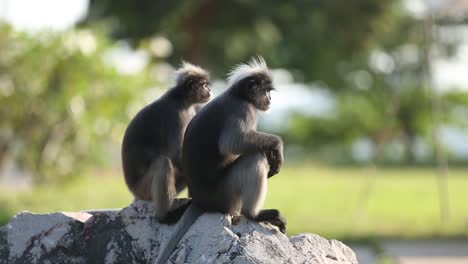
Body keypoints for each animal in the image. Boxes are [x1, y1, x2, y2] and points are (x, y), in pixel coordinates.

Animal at [120, 62, 210, 223]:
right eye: (204, 85)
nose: (210, 90)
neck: (181, 99)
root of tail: (132, 190)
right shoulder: (176, 116)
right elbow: (174, 155)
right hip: (143, 189)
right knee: (163, 163)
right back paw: (164, 216)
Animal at [155, 57, 286, 264]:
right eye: (266, 91)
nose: (270, 99)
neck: (239, 96)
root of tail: (201, 200)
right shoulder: (242, 110)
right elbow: (232, 143)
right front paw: (277, 146)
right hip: (226, 194)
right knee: (255, 157)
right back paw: (254, 214)